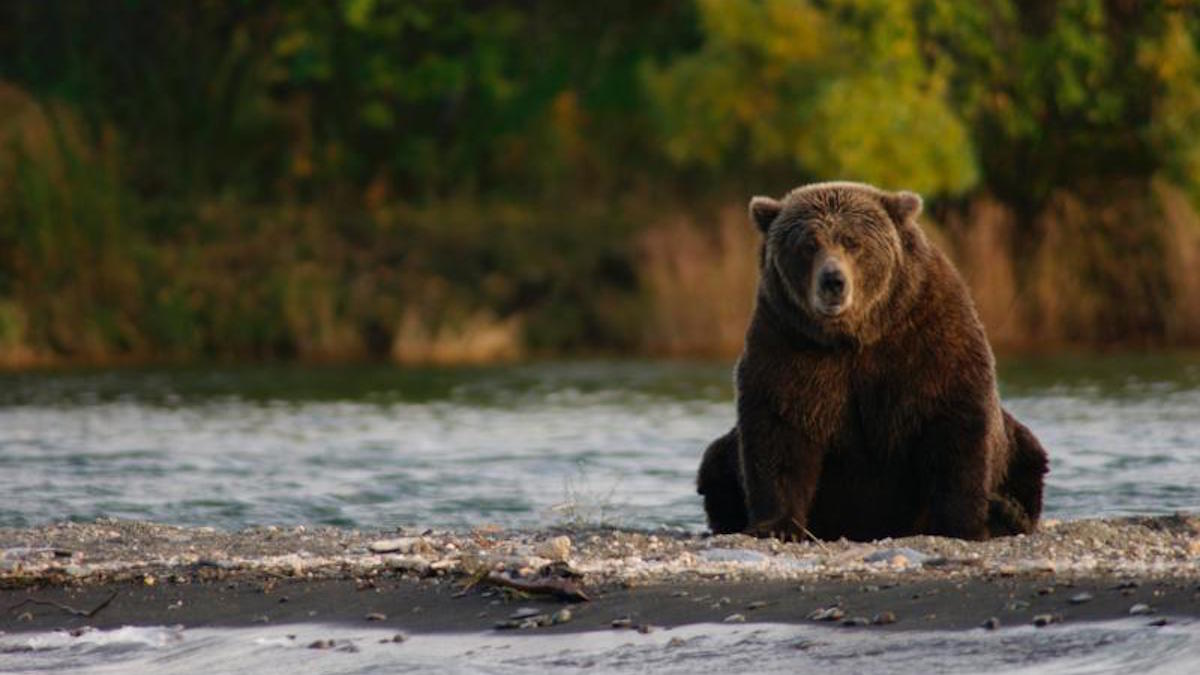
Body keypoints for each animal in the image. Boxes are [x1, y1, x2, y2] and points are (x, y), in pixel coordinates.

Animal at [696, 181, 1048, 541]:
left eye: (853, 242)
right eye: (808, 245)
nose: (833, 281)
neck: (854, 335)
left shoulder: (927, 338)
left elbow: (954, 426)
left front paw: (962, 524)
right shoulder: (787, 342)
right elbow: (779, 430)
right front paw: (776, 526)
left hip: (1017, 446)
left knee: (1029, 456)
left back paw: (1007, 513)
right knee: (715, 463)